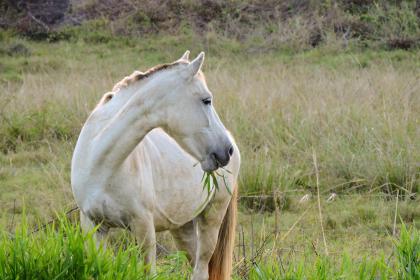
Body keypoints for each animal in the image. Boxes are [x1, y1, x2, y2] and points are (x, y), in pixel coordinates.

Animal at [71, 50, 240, 280]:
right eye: (206, 100)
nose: (226, 150)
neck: (101, 165)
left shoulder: (143, 227)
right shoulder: (93, 226)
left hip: (212, 217)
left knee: (201, 268)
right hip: (183, 227)